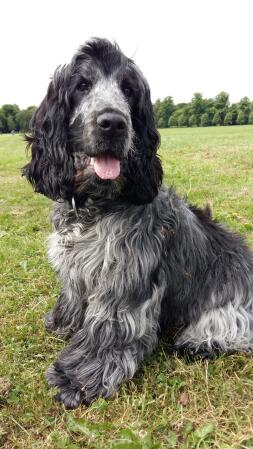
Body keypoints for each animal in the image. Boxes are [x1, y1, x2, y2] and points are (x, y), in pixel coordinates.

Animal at [23, 39, 253, 410]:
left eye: (128, 90)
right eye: (82, 85)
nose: (113, 123)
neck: (96, 204)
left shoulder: (123, 279)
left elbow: (107, 330)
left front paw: (77, 379)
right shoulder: (75, 267)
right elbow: (72, 295)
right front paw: (63, 323)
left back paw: (201, 342)